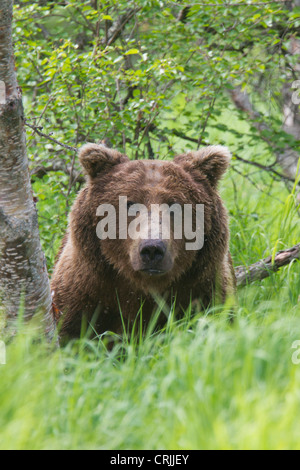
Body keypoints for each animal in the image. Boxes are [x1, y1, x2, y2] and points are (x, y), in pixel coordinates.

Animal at [50, 143, 236, 342]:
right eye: (129, 203)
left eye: (175, 205)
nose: (152, 249)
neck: (143, 287)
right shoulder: (85, 293)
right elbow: (73, 331)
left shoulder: (204, 292)